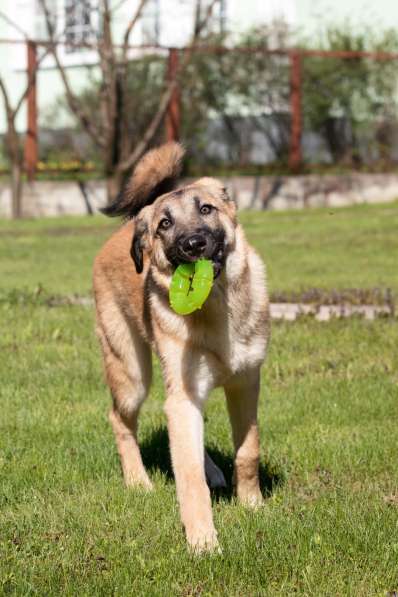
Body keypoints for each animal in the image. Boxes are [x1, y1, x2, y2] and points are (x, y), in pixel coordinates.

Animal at [92, 142, 270, 552]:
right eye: (165, 224)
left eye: (206, 209)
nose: (193, 245)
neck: (215, 313)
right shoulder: (184, 394)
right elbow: (189, 479)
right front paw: (203, 541)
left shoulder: (245, 383)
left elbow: (247, 451)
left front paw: (252, 504)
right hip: (131, 374)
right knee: (119, 420)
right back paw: (138, 481)